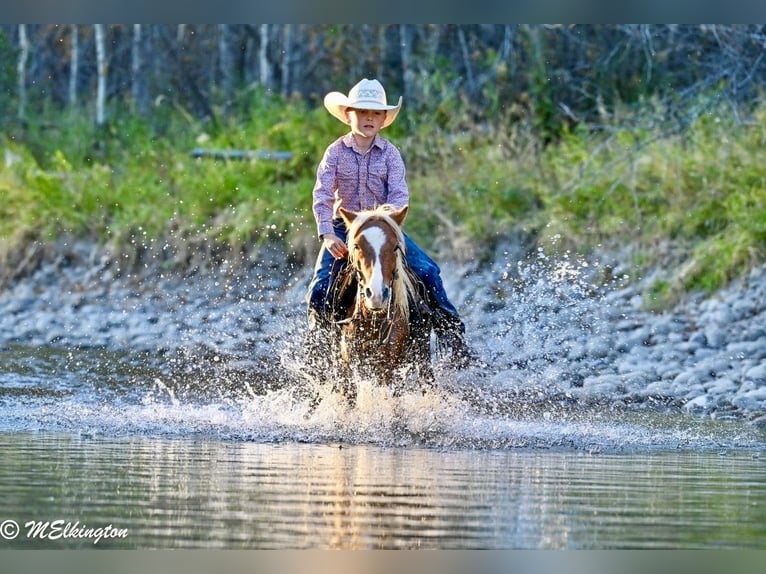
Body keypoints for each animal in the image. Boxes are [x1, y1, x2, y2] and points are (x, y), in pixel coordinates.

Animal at [316, 204, 434, 407]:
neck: (372, 323)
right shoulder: (347, 365)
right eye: (356, 246)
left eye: (395, 247)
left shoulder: (389, 368)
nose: (377, 295)